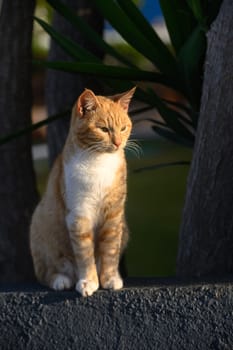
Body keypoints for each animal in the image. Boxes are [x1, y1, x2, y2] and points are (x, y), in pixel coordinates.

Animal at [29, 87, 136, 296]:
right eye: (104, 129)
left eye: (123, 128)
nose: (118, 143)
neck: (99, 161)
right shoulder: (78, 215)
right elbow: (85, 254)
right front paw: (88, 281)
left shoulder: (114, 214)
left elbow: (110, 249)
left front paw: (109, 278)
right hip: (40, 224)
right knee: (45, 273)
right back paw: (61, 280)